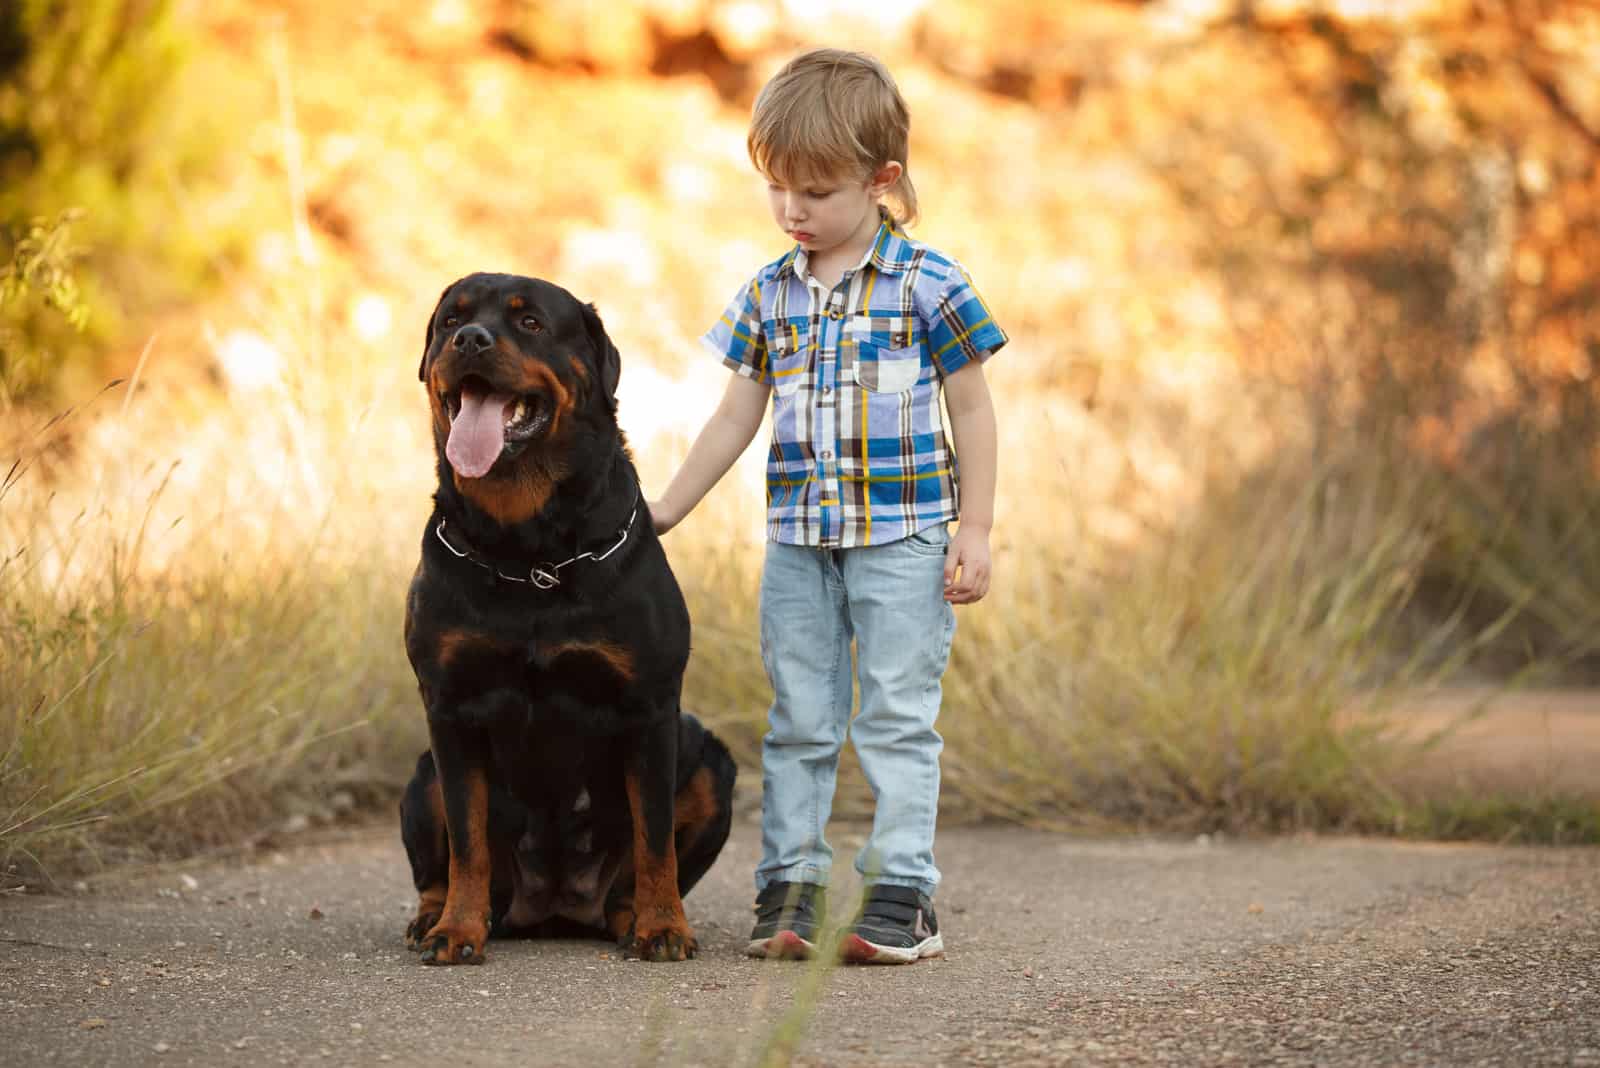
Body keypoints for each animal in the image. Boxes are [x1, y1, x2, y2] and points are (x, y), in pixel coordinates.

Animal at [396, 271, 732, 965]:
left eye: (530, 323)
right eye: (451, 321)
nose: (471, 340)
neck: (530, 553)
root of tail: (554, 906)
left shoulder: (650, 706)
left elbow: (653, 834)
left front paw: (664, 926)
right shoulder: (450, 708)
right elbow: (467, 839)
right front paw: (458, 930)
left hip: (712, 760)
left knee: (636, 870)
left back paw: (634, 917)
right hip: (421, 775)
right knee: (441, 861)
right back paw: (433, 915)